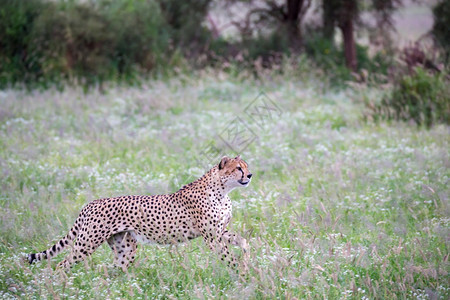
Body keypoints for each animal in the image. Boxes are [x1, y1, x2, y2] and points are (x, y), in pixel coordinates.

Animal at [28, 156, 253, 270]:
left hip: (125, 247)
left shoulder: (220, 231)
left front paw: (246, 257)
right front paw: (242, 274)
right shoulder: (211, 237)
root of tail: (91, 202)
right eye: (238, 168)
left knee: (114, 269)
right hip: (87, 243)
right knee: (62, 264)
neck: (223, 190)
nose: (250, 175)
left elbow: (242, 240)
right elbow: (228, 257)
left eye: (246, 166)